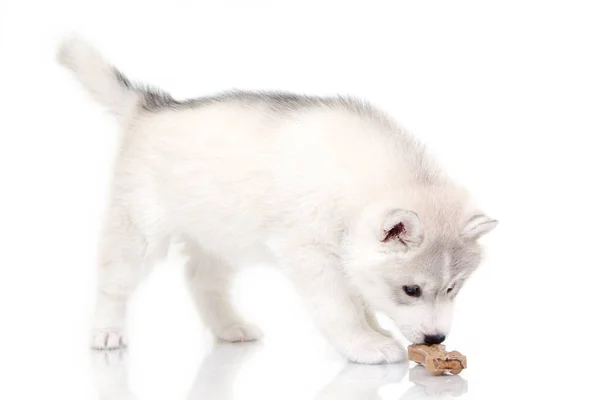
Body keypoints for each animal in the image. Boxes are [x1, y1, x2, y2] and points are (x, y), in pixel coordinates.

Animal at [57, 38, 496, 366]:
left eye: (453, 288)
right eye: (411, 290)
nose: (436, 338)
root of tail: (148, 107)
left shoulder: (345, 256)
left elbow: (359, 299)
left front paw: (374, 330)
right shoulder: (310, 255)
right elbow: (340, 307)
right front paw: (365, 343)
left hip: (221, 231)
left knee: (201, 278)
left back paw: (229, 327)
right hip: (140, 230)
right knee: (115, 283)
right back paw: (106, 331)